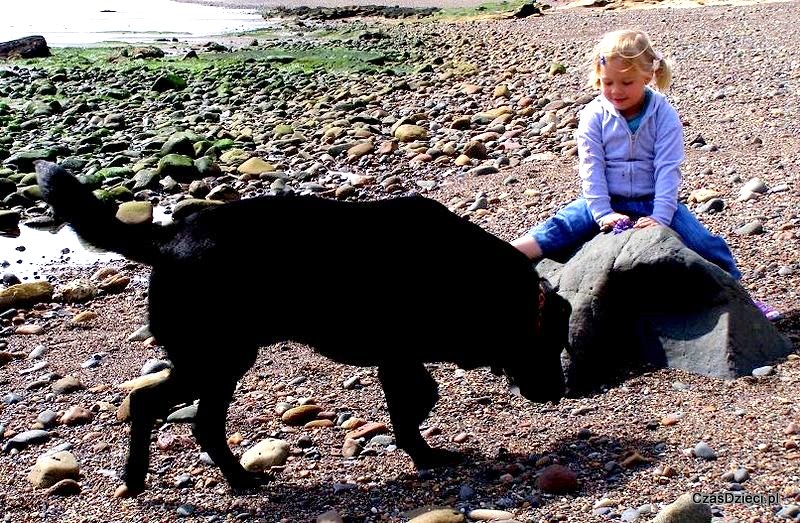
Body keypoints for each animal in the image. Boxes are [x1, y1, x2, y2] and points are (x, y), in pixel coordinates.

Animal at [32, 162, 568, 498]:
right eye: (554, 343)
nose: (560, 393)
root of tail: (166, 239)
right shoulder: (398, 357)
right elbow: (412, 403)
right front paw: (423, 453)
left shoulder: (400, 357)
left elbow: (418, 399)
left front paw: (418, 445)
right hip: (216, 357)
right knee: (149, 403)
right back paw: (147, 476)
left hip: (220, 361)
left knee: (200, 423)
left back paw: (233, 480)